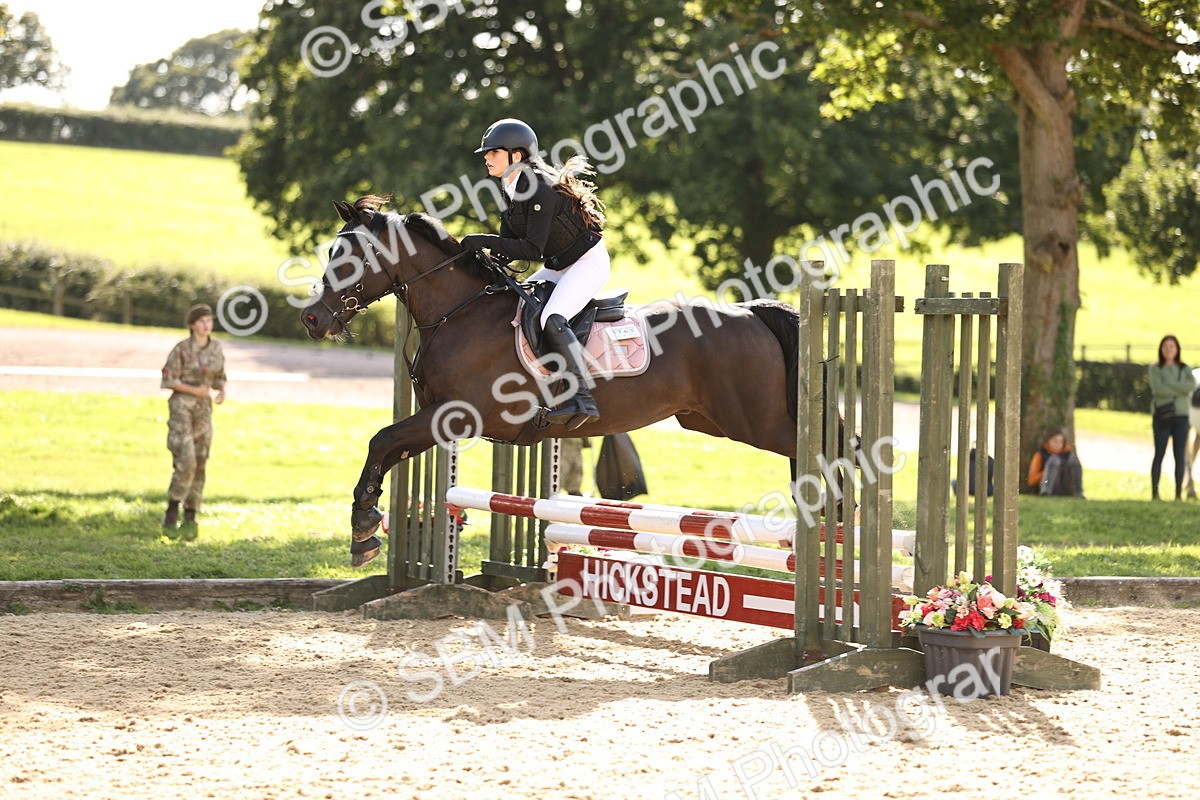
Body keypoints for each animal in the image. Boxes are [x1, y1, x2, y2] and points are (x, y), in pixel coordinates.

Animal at [302, 195, 827, 565]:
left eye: (348, 258)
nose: (311, 319)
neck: (458, 313)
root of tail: (751, 311)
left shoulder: (457, 415)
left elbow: (381, 438)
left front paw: (363, 526)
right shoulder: (438, 421)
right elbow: (386, 449)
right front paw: (366, 526)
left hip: (753, 421)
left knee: (822, 445)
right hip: (708, 420)